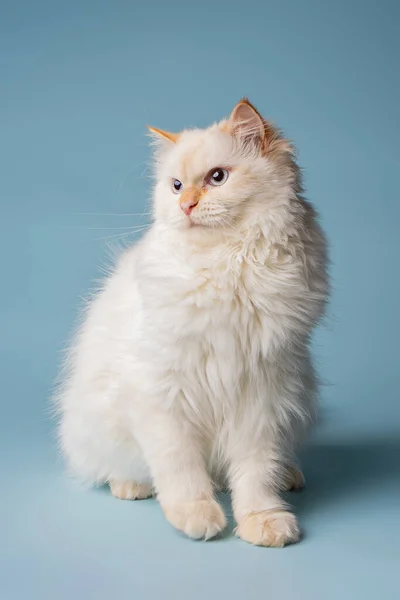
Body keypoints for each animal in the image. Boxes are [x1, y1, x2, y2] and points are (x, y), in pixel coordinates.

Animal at [57, 99, 332, 548]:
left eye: (217, 178)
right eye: (175, 186)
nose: (185, 205)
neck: (228, 261)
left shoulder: (261, 396)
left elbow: (256, 475)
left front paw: (263, 521)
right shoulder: (163, 393)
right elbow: (180, 468)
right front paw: (196, 516)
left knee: (272, 463)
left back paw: (289, 477)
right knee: (113, 466)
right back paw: (131, 486)